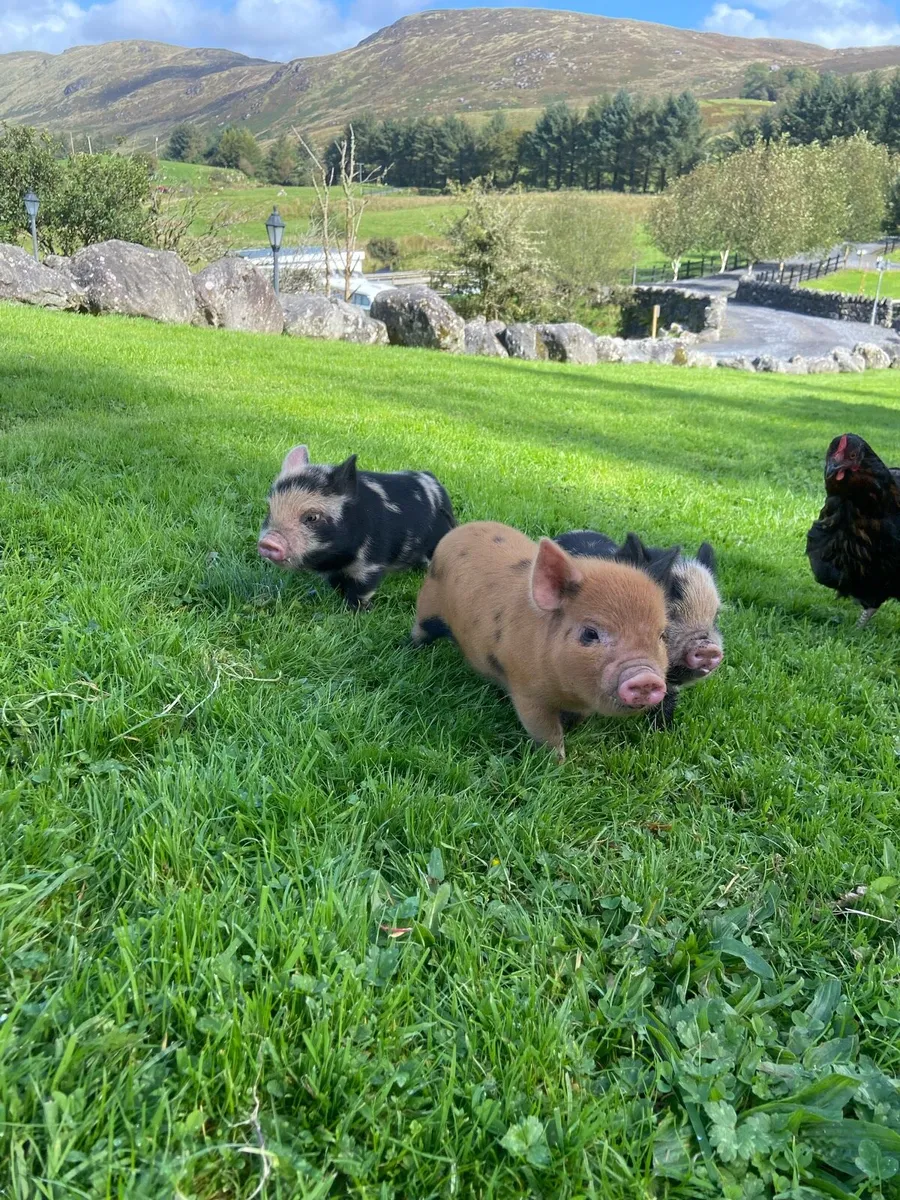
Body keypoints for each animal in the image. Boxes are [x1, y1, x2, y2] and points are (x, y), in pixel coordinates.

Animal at [258, 444, 456, 609]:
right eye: (269, 509)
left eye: (312, 517)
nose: (268, 542)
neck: (338, 558)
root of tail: (433, 480)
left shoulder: (370, 563)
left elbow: (362, 588)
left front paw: (358, 611)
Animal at [411, 520, 674, 759]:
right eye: (590, 633)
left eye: (662, 635)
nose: (646, 678)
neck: (567, 693)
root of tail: (458, 531)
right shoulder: (527, 692)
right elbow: (546, 734)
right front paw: (557, 765)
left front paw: (570, 731)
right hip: (427, 604)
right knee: (420, 631)